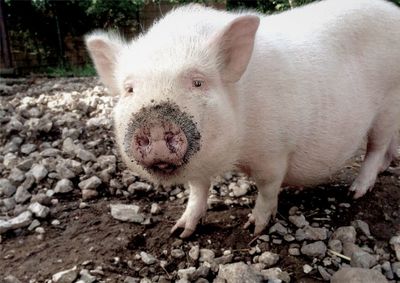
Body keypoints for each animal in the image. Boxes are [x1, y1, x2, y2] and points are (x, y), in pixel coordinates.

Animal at [86, 0, 400, 239]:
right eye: (129, 89)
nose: (154, 122)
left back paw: (355, 192)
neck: (235, 154)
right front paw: (180, 232)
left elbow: (268, 187)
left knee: (376, 148)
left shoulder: (274, 151)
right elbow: (197, 189)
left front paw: (255, 229)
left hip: (388, 106)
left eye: (198, 82)